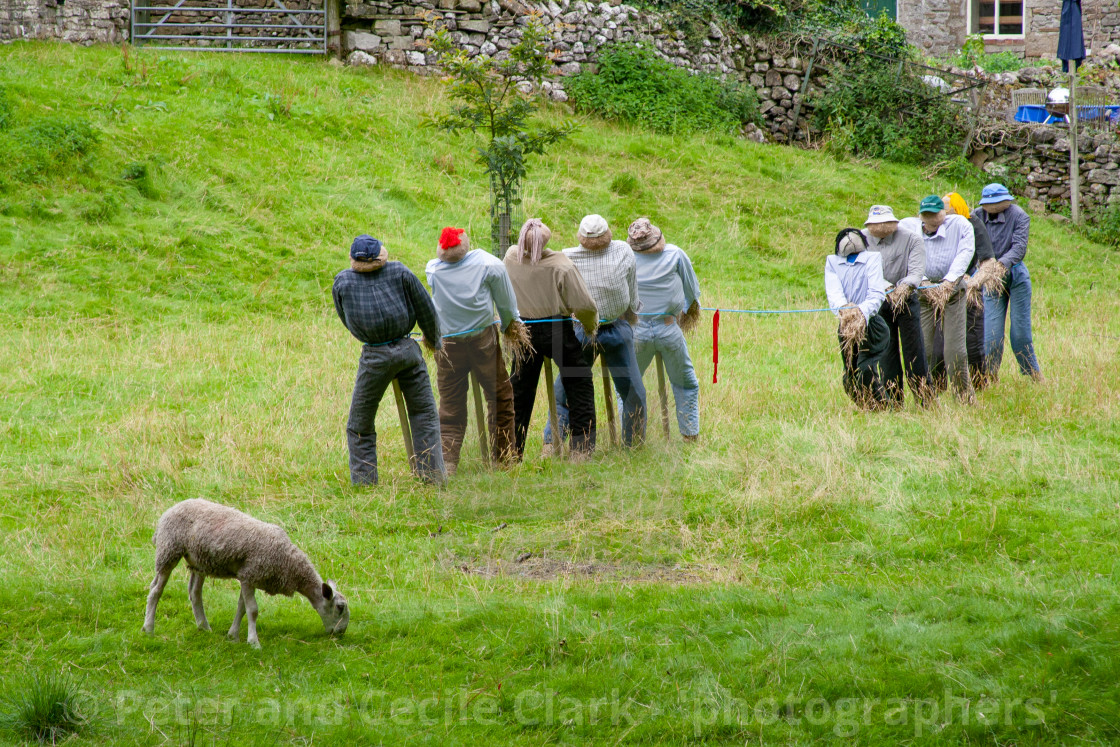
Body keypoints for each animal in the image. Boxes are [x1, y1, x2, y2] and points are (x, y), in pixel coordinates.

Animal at [142, 501, 347, 649]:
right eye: (339, 607)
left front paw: (233, 636)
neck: (289, 563)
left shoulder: (248, 577)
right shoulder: (250, 575)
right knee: (156, 590)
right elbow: (253, 610)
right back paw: (149, 629)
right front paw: (254, 642)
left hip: (198, 561)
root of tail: (169, 510)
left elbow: (241, 608)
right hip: (169, 549)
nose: (341, 633)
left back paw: (204, 626)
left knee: (195, 593)